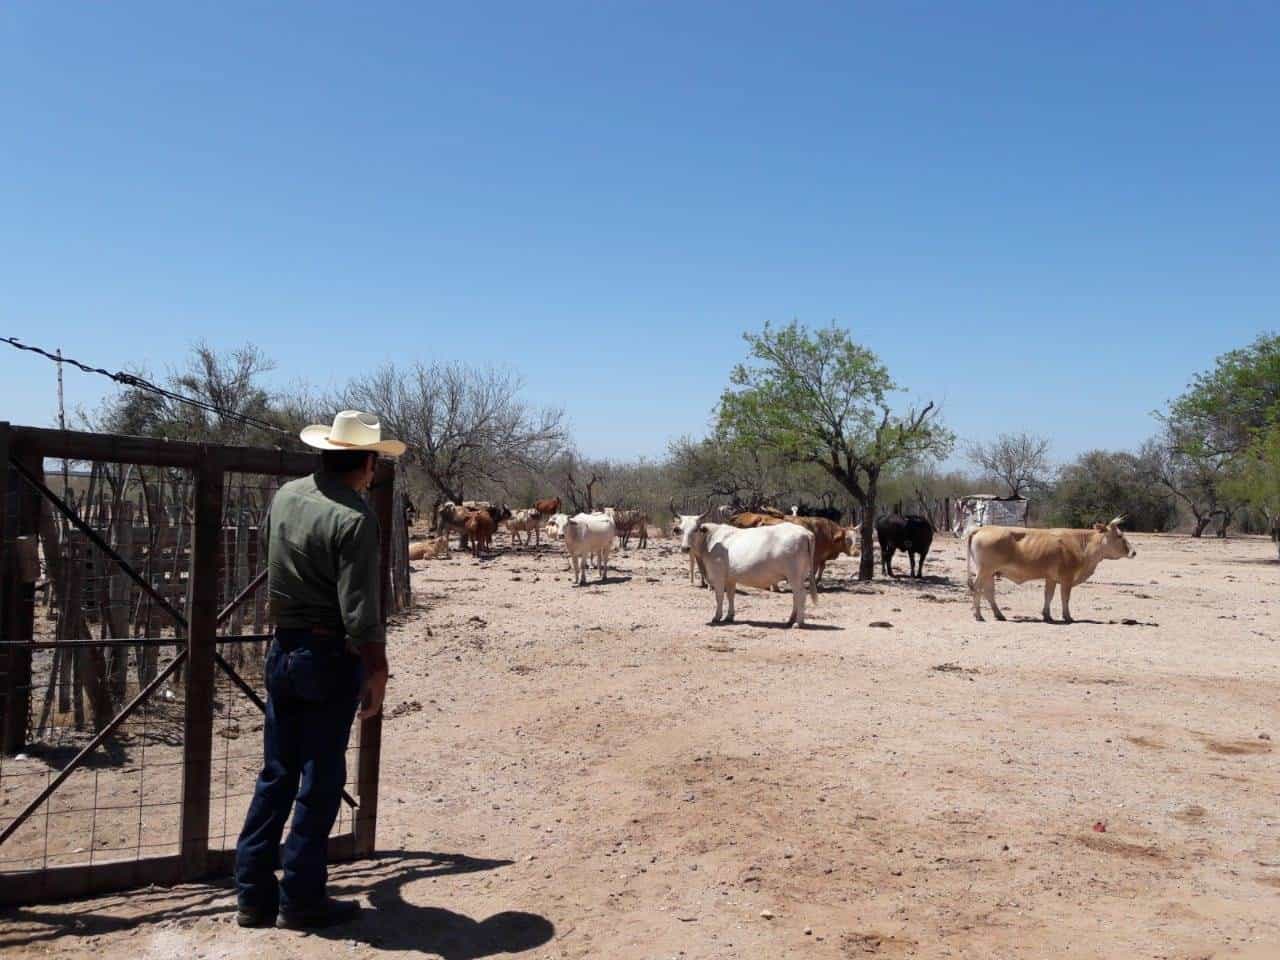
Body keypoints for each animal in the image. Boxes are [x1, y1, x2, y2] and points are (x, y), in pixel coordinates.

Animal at [691, 522, 819, 627]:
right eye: (684, 529)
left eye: (695, 529)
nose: (686, 548)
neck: (710, 541)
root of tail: (805, 532)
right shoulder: (730, 578)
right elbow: (731, 596)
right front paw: (729, 617)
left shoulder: (718, 576)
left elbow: (719, 597)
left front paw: (716, 617)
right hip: (799, 576)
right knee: (795, 596)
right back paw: (790, 620)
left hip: (795, 575)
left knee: (801, 595)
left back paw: (798, 623)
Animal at [962, 519, 1136, 624]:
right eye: (1120, 535)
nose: (1133, 552)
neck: (1082, 545)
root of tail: (981, 529)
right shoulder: (1067, 578)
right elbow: (1065, 598)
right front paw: (1067, 617)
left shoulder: (1051, 578)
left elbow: (1049, 596)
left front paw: (1047, 615)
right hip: (984, 571)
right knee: (977, 589)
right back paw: (979, 615)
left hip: (989, 573)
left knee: (988, 592)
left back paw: (999, 615)